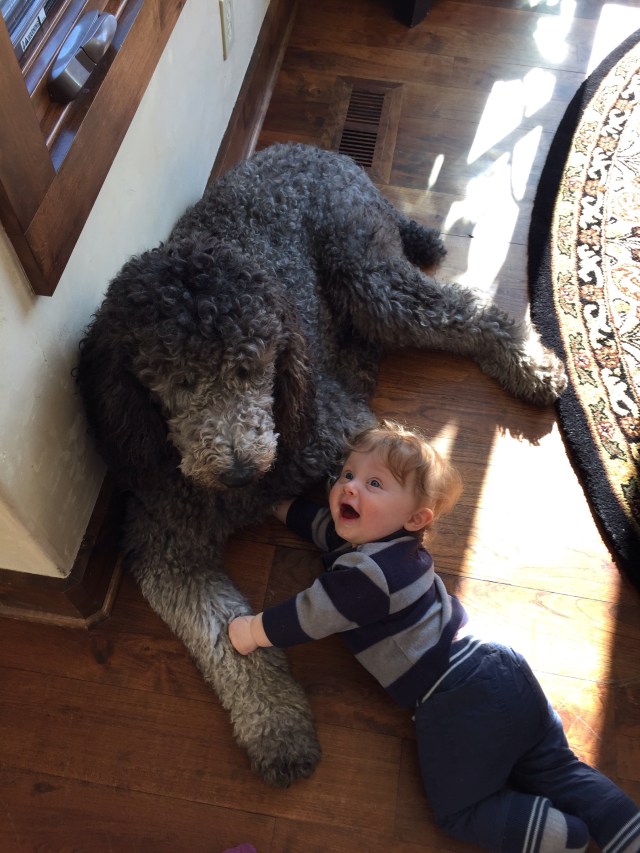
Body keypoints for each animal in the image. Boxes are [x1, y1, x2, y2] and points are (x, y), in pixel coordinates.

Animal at [76, 142, 567, 786]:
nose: (239, 469)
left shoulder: (347, 432)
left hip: (371, 281)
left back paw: (529, 361)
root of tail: (317, 151)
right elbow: (225, 641)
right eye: (174, 381)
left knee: (466, 309)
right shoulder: (167, 548)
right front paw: (277, 727)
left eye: (251, 365)